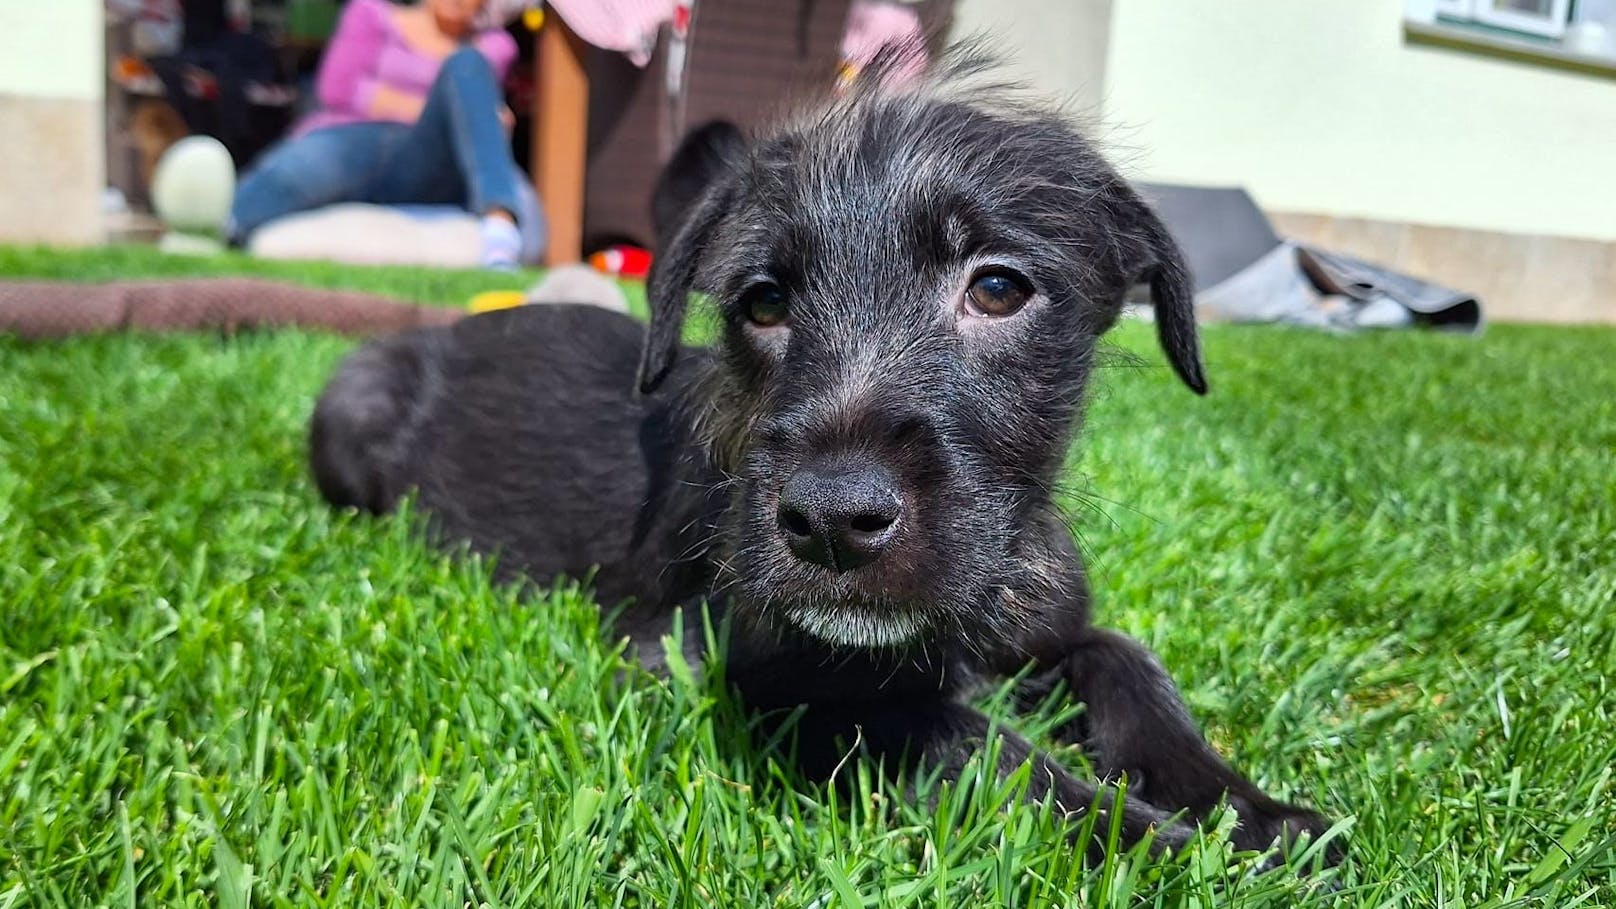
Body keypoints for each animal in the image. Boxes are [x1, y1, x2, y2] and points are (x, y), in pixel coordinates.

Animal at [308, 61, 1331, 854]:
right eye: (763, 302)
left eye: (998, 288)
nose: (831, 522)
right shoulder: (732, 663)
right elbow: (967, 739)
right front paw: (1158, 842)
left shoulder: (1048, 622)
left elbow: (1127, 657)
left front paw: (1246, 810)